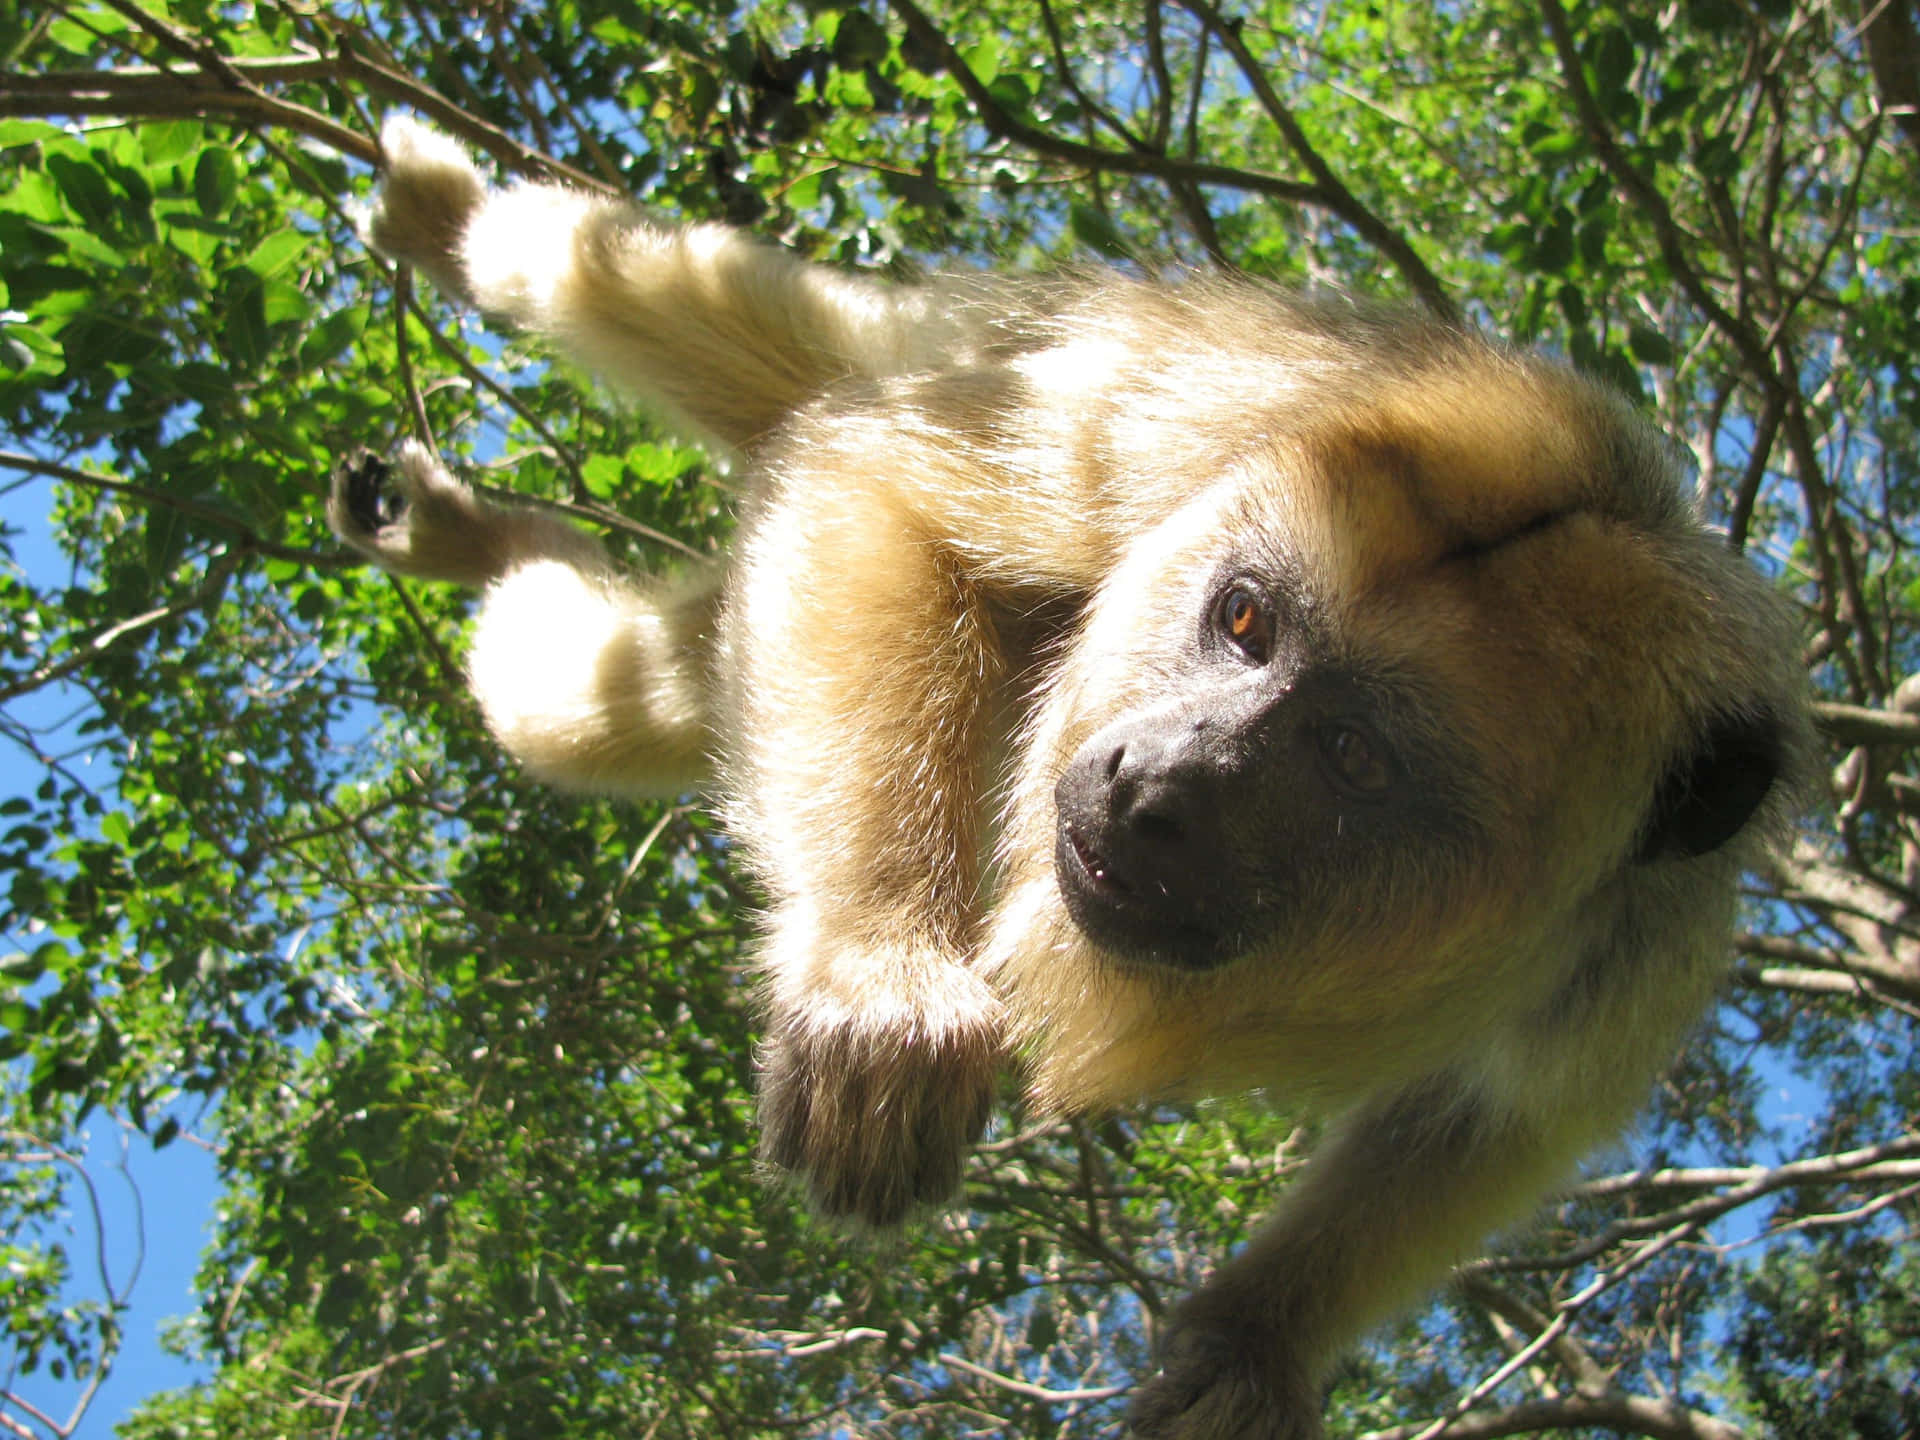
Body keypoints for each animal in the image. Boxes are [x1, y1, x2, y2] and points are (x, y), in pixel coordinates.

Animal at [337, 121, 1804, 1440]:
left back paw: (483, 544)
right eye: (1245, 621)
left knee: (597, 709)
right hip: (975, 357)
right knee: (659, 313)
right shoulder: (1186, 429)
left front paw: (1254, 1340)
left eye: (1354, 757)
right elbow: (877, 491)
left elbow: (1496, 1115)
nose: (1157, 782)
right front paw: (879, 971)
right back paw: (446, 235)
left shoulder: (1648, 933)